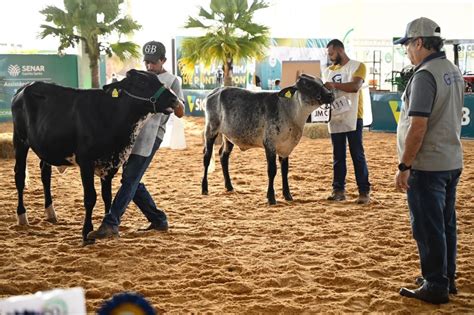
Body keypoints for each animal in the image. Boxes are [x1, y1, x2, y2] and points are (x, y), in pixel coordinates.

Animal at [11, 70, 181, 246]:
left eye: (157, 79)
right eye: (141, 82)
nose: (174, 99)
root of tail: (25, 87)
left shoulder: (111, 164)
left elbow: (108, 197)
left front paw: (108, 230)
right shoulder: (86, 162)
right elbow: (90, 198)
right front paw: (87, 234)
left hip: (45, 148)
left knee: (45, 175)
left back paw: (51, 213)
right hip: (20, 140)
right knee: (19, 176)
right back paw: (22, 216)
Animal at [202, 75, 336, 206]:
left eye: (321, 82)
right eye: (308, 85)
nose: (330, 95)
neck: (290, 113)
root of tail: (216, 91)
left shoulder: (285, 148)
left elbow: (285, 170)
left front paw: (288, 195)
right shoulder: (269, 144)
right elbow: (272, 170)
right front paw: (271, 198)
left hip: (229, 136)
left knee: (223, 156)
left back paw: (229, 186)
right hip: (211, 129)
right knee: (207, 157)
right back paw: (204, 188)